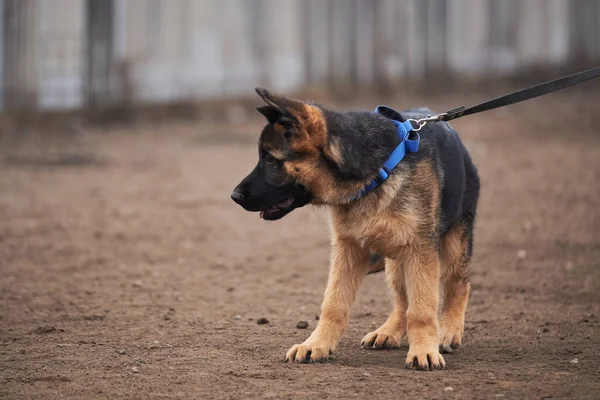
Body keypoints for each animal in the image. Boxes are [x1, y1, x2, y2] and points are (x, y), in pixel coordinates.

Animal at [230, 89, 478, 370]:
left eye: (271, 160)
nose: (234, 196)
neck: (375, 175)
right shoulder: (348, 250)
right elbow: (333, 304)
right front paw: (316, 345)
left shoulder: (421, 250)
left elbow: (422, 309)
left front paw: (424, 350)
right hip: (397, 261)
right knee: (402, 299)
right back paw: (389, 331)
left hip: (451, 246)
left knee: (458, 284)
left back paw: (448, 331)